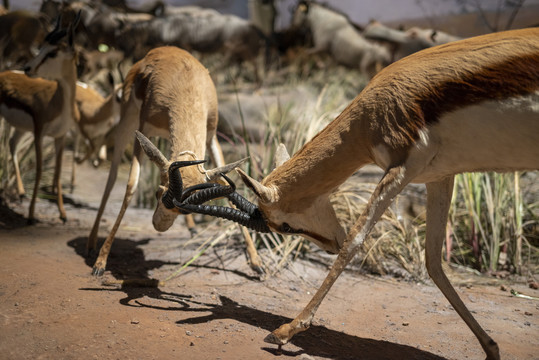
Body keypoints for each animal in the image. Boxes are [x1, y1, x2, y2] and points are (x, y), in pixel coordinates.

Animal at [0, 15, 79, 224]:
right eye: (41, 47)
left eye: (52, 53)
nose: (28, 68)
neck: (58, 103)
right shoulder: (39, 133)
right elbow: (39, 169)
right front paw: (31, 214)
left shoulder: (60, 137)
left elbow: (57, 173)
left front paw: (63, 213)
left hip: (21, 129)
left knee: (12, 145)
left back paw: (20, 192)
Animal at [87, 45, 264, 276]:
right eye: (157, 193)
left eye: (185, 209)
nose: (158, 226)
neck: (187, 88)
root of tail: (163, 49)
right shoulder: (144, 130)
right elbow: (131, 185)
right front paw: (101, 263)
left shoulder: (211, 136)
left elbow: (226, 184)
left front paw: (256, 262)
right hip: (127, 123)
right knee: (112, 175)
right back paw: (91, 244)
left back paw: (192, 228)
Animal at [176, 28, 539, 360]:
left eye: (284, 227)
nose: (329, 244)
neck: (371, 116)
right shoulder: (439, 176)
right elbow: (433, 261)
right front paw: (491, 349)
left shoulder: (402, 168)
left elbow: (355, 241)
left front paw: (284, 331)